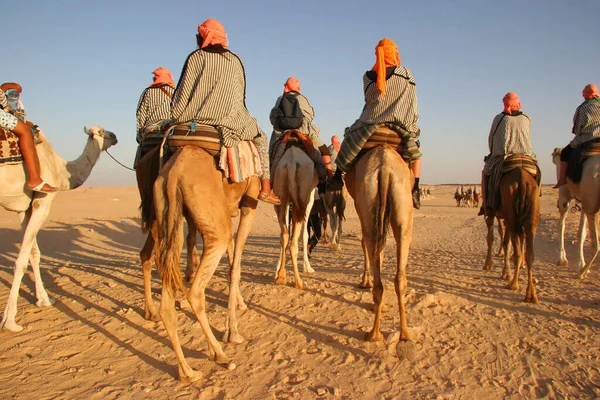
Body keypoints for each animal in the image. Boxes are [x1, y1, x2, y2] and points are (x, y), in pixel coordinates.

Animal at [1, 126, 118, 332]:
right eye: (103, 132)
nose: (115, 137)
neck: (59, 168)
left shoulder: (24, 207)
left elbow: (34, 253)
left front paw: (45, 300)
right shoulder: (43, 200)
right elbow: (22, 260)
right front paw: (10, 321)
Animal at [152, 145, 258, 382]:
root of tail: (175, 173)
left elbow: (232, 261)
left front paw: (240, 305)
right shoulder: (249, 203)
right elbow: (235, 266)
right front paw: (232, 332)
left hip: (168, 216)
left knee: (166, 302)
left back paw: (187, 372)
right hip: (213, 222)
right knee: (196, 291)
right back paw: (219, 353)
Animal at [274, 145, 318, 290]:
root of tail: (292, 161)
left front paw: (277, 270)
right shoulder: (310, 198)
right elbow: (305, 235)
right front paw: (308, 268)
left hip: (281, 194)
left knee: (284, 235)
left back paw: (281, 276)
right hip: (302, 196)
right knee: (293, 240)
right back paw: (298, 282)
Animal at [344, 147, 414, 344]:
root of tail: (385, 167)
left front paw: (364, 281)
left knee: (370, 242)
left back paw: (375, 333)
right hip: (400, 206)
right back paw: (402, 334)